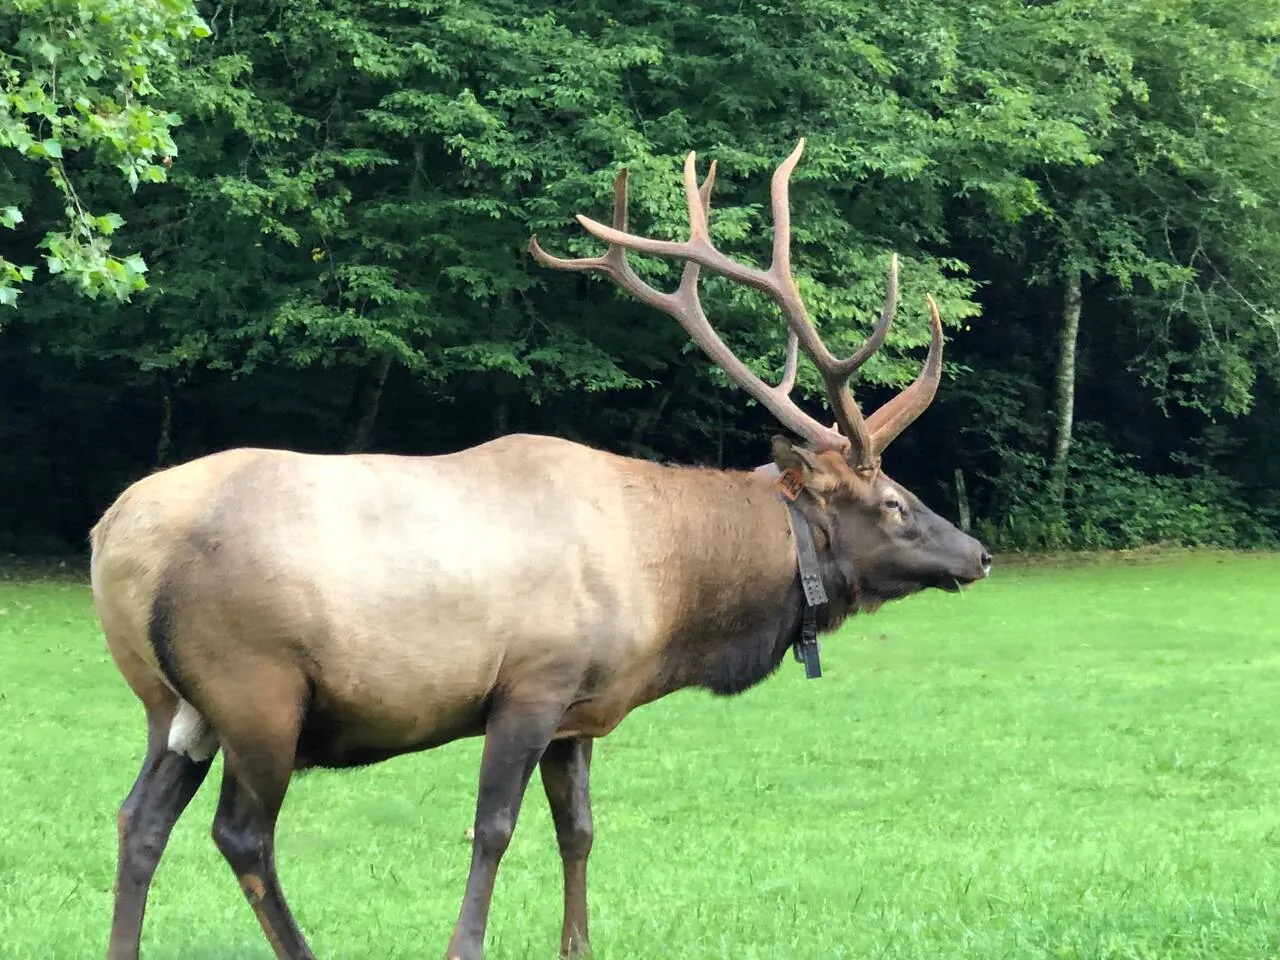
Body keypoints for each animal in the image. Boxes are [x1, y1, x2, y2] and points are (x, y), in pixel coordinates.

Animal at [91, 139, 991, 960]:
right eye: (894, 503)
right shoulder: (531, 683)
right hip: (256, 689)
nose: (977, 554)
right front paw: (465, 946)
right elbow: (493, 828)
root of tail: (113, 539)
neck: (669, 594)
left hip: (173, 705)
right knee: (241, 834)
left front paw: (577, 945)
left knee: (139, 818)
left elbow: (579, 830)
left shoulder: (578, 713)